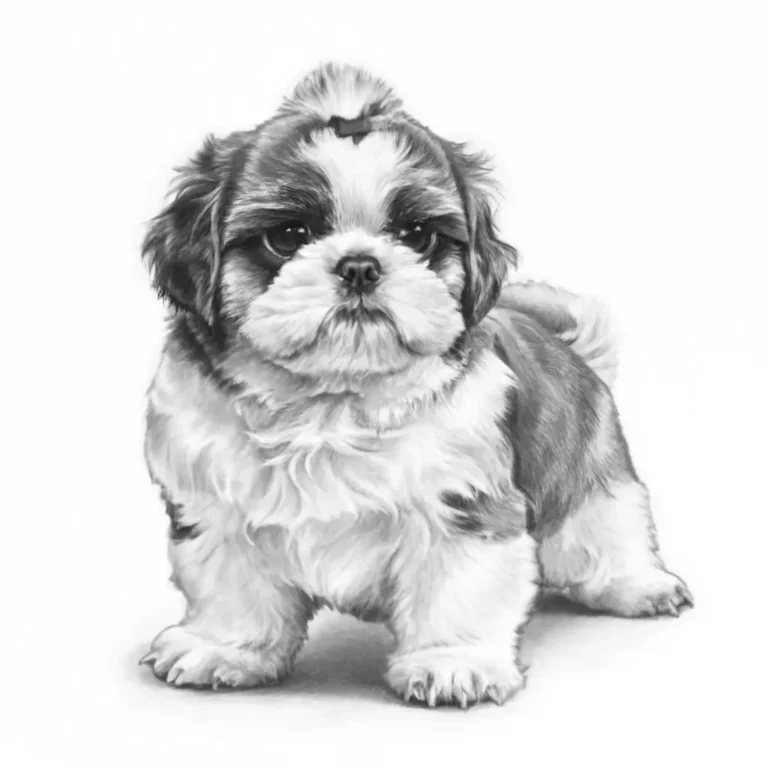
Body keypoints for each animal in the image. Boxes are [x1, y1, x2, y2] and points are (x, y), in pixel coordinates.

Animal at [139, 62, 692, 707]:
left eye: (417, 235)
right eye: (288, 235)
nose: (359, 265)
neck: (331, 403)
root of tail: (571, 348)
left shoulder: (467, 507)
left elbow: (458, 587)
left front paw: (453, 663)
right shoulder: (213, 507)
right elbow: (231, 587)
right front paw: (224, 649)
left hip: (593, 474)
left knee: (606, 524)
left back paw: (637, 584)